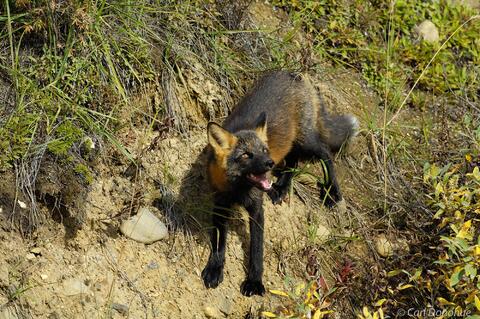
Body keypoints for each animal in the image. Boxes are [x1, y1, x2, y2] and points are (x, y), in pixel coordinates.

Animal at [201, 71, 358, 296]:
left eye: (264, 150)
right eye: (246, 155)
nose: (269, 163)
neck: (236, 191)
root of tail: (295, 74)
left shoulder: (257, 209)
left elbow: (256, 249)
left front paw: (254, 282)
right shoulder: (220, 205)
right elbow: (218, 244)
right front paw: (215, 268)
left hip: (306, 142)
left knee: (325, 153)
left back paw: (332, 192)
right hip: (294, 144)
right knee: (294, 161)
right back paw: (282, 187)